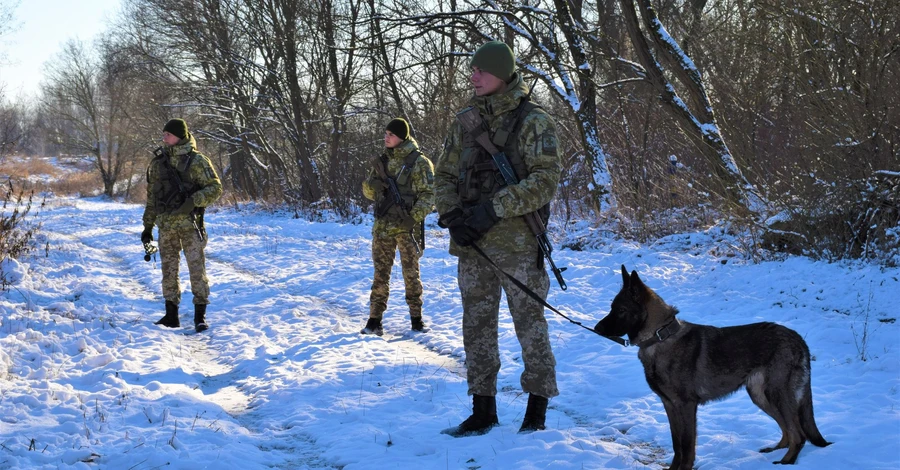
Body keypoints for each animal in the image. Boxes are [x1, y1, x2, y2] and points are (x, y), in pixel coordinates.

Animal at [596, 266, 832, 468]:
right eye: (612, 308)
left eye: (620, 310)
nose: (597, 328)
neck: (660, 337)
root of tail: (798, 338)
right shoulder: (669, 405)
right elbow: (676, 445)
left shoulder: (686, 406)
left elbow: (687, 446)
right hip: (761, 395)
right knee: (787, 428)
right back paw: (777, 450)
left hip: (776, 394)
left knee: (798, 434)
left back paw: (787, 461)